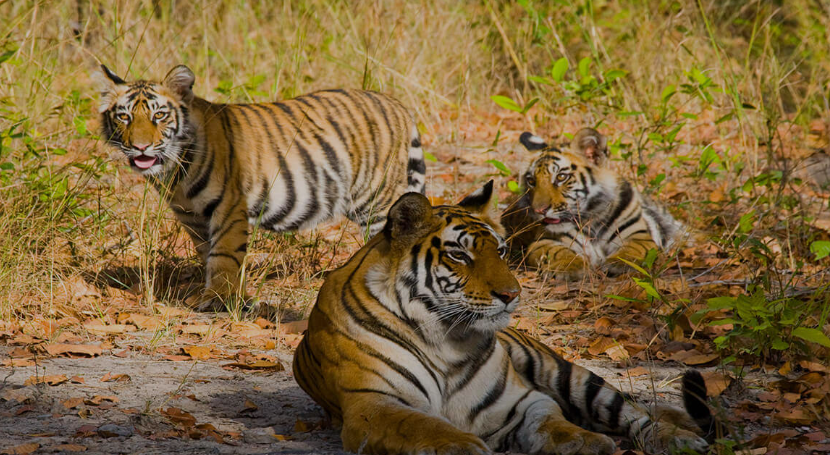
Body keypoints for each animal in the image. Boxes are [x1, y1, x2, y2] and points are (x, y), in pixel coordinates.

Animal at [95, 64, 426, 311]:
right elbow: (208, 254)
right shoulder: (192, 217)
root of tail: (397, 104)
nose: (140, 148)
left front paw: (216, 299)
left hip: (376, 201)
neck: (174, 173)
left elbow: (224, 255)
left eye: (159, 115)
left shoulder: (228, 206)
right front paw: (234, 297)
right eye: (124, 116)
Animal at [293, 181, 714, 455]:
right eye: (459, 255)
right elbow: (421, 424)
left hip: (573, 376)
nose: (512, 295)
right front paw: (461, 444)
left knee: (636, 414)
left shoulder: (521, 400)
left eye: (500, 250)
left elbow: (552, 421)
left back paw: (680, 439)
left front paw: (583, 442)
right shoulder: (374, 403)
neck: (445, 339)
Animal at [501, 128, 683, 277]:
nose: (539, 210)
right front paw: (570, 267)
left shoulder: (639, 234)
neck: (592, 219)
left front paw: (619, 262)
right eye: (531, 181)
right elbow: (557, 252)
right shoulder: (543, 241)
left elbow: (633, 249)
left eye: (561, 177)